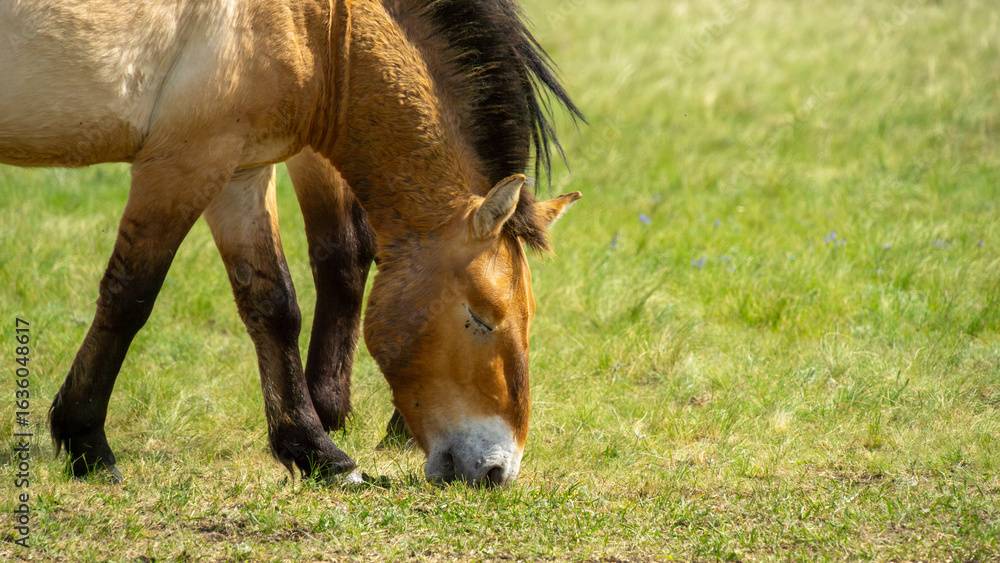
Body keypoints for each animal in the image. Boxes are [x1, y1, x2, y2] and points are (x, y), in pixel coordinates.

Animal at [0, 0, 582, 487]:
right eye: (481, 317)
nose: (497, 470)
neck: (318, 24)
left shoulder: (240, 172)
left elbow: (273, 305)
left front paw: (315, 450)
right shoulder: (184, 163)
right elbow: (129, 298)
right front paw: (85, 441)